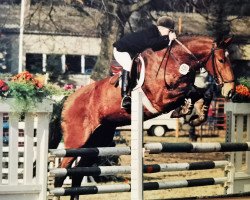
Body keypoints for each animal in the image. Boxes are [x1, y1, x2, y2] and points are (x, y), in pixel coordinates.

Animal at [50, 34, 234, 200]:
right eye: (221, 60)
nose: (230, 91)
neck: (176, 61)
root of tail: (68, 99)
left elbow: (203, 92)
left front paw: (196, 115)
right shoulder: (161, 98)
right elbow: (190, 91)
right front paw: (185, 110)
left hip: (97, 141)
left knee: (78, 173)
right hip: (77, 141)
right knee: (62, 173)